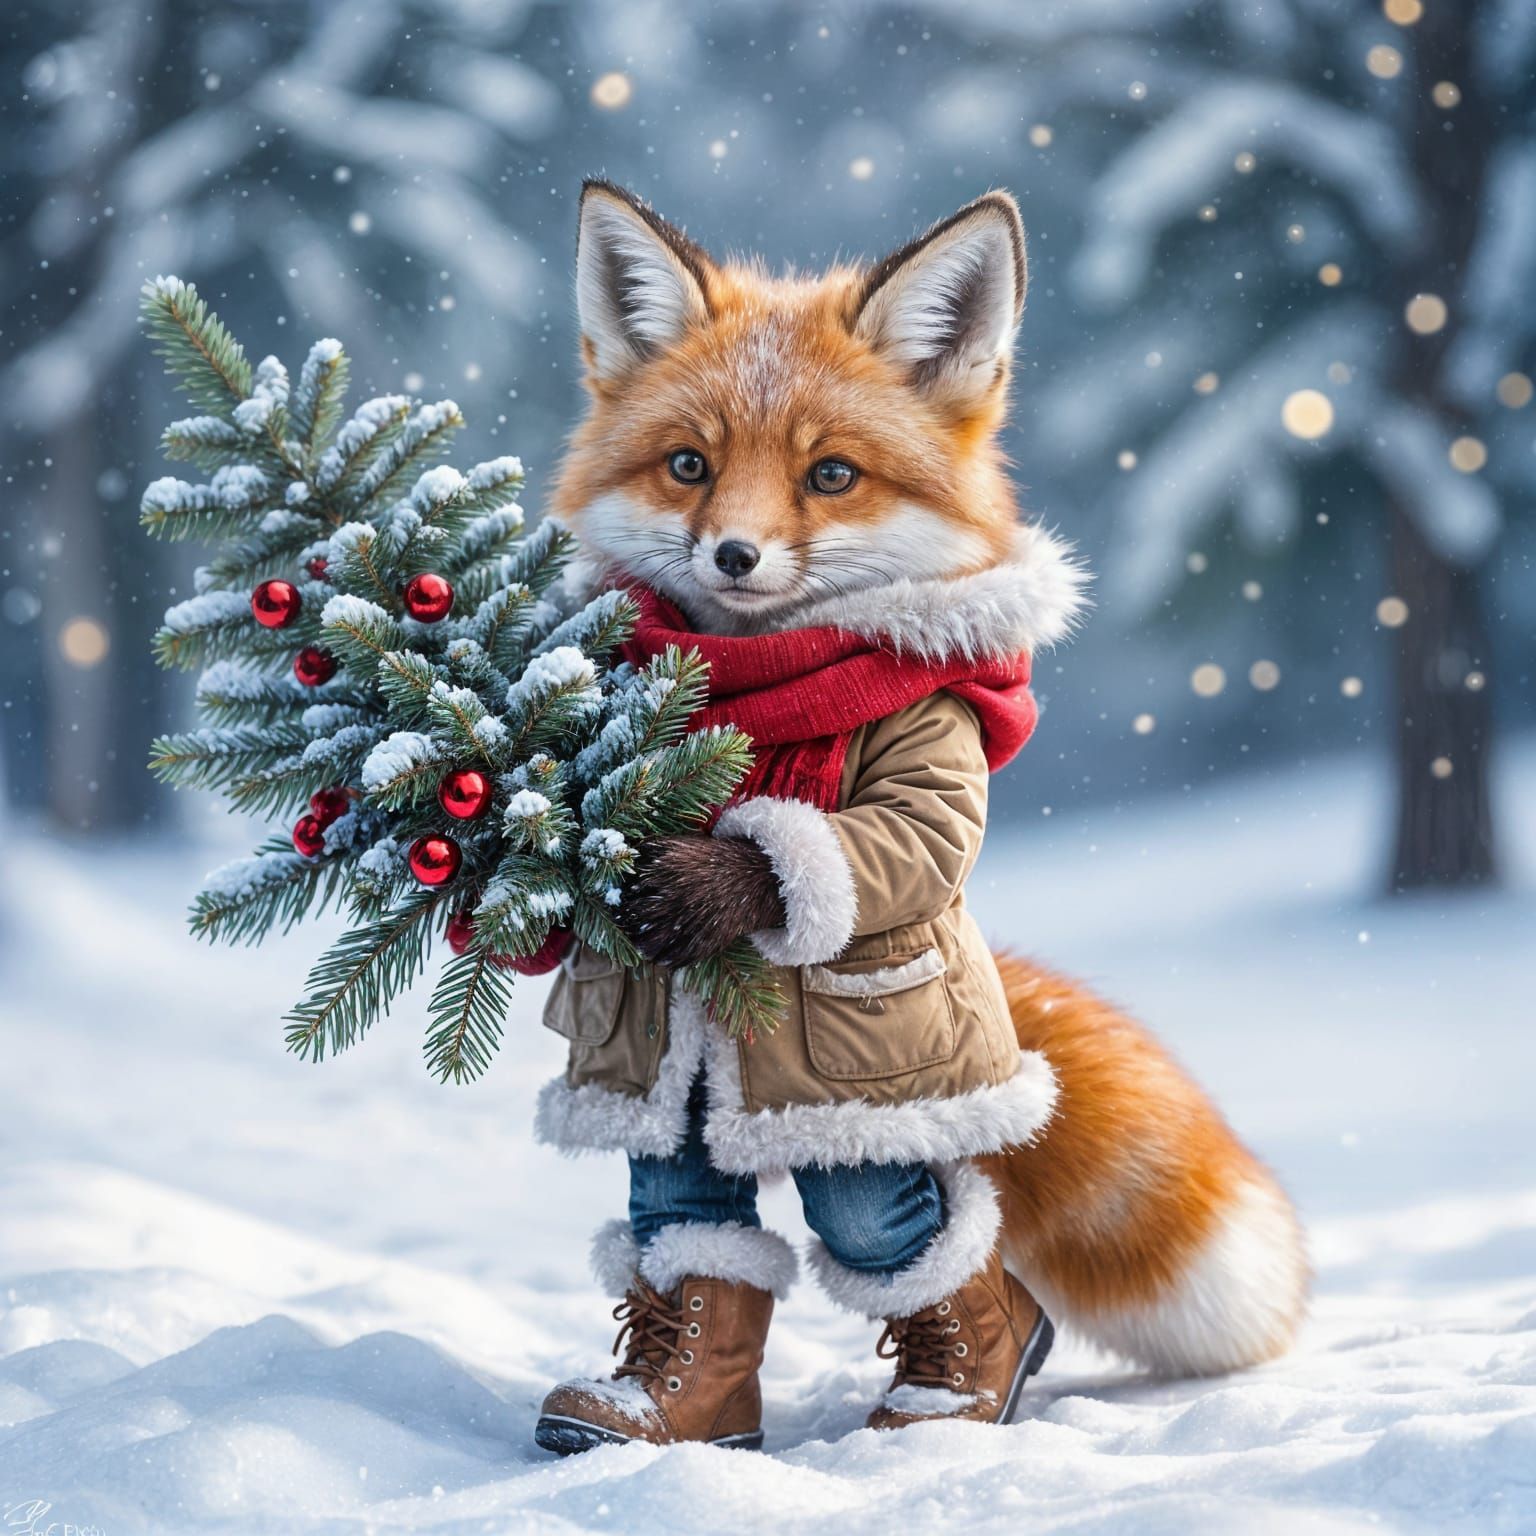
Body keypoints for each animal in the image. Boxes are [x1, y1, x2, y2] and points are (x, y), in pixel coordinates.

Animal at [545, 178, 1306, 1400]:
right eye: (689, 465)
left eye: (831, 475)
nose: (733, 556)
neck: (760, 687)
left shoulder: (937, 735)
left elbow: (902, 837)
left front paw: (714, 882)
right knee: (694, 1204)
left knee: (898, 1221)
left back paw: (965, 1376)